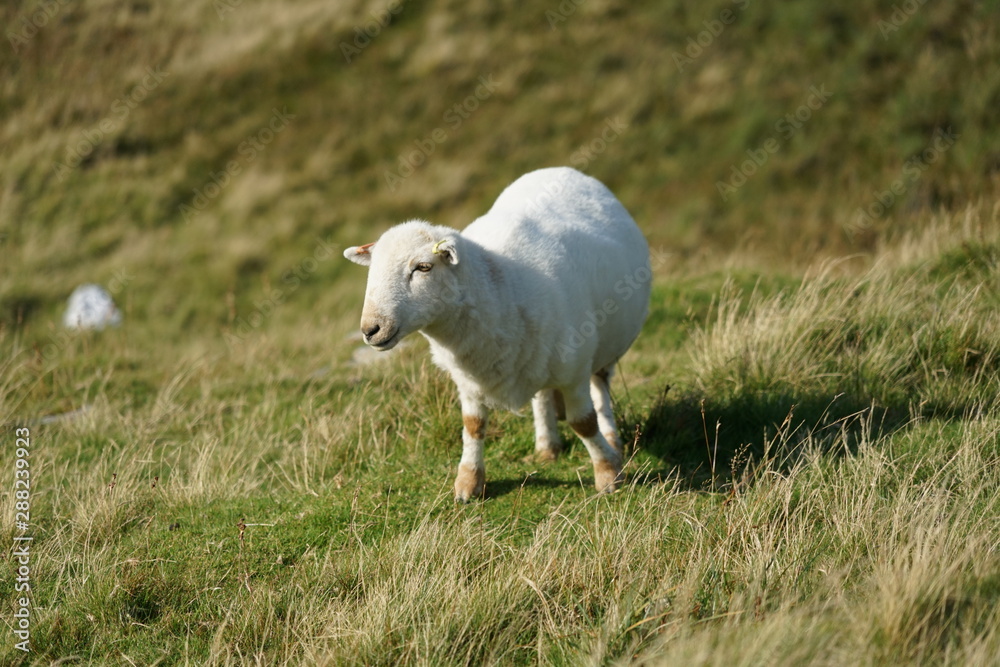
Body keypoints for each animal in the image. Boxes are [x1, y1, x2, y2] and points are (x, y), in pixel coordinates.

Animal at [344, 166, 651, 501]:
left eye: (423, 267)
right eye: (372, 272)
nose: (370, 329)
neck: (502, 287)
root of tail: (561, 170)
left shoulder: (574, 370)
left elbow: (583, 422)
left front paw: (608, 474)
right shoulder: (467, 380)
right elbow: (473, 426)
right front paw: (468, 483)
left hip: (601, 350)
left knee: (601, 388)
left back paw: (611, 439)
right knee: (543, 394)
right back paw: (547, 446)